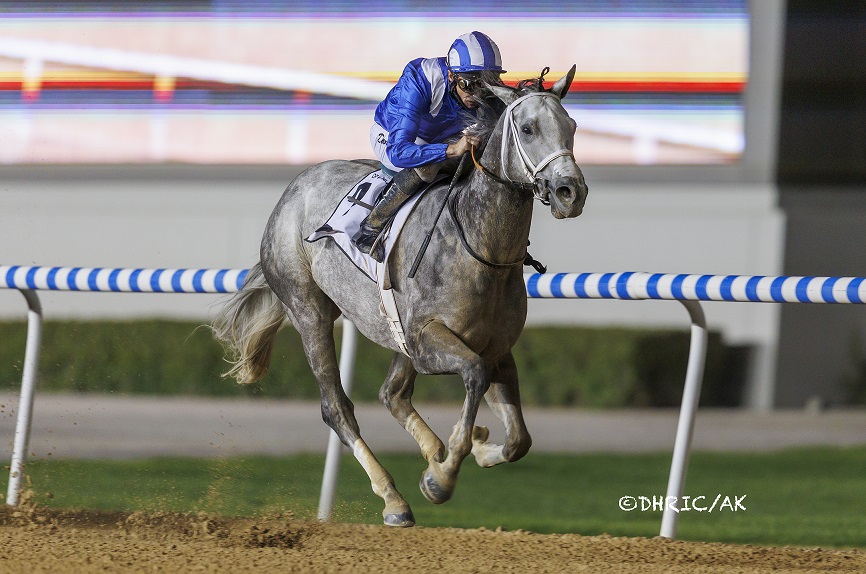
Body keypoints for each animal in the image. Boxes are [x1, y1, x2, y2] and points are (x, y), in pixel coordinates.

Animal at [212, 66, 588, 527]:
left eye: (571, 126)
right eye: (529, 128)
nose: (571, 192)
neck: (482, 249)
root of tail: (295, 187)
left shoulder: (495, 347)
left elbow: (519, 439)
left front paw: (475, 448)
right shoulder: (430, 343)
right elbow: (474, 376)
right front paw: (441, 478)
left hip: (396, 334)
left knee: (391, 394)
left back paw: (435, 451)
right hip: (309, 309)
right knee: (337, 408)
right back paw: (394, 498)